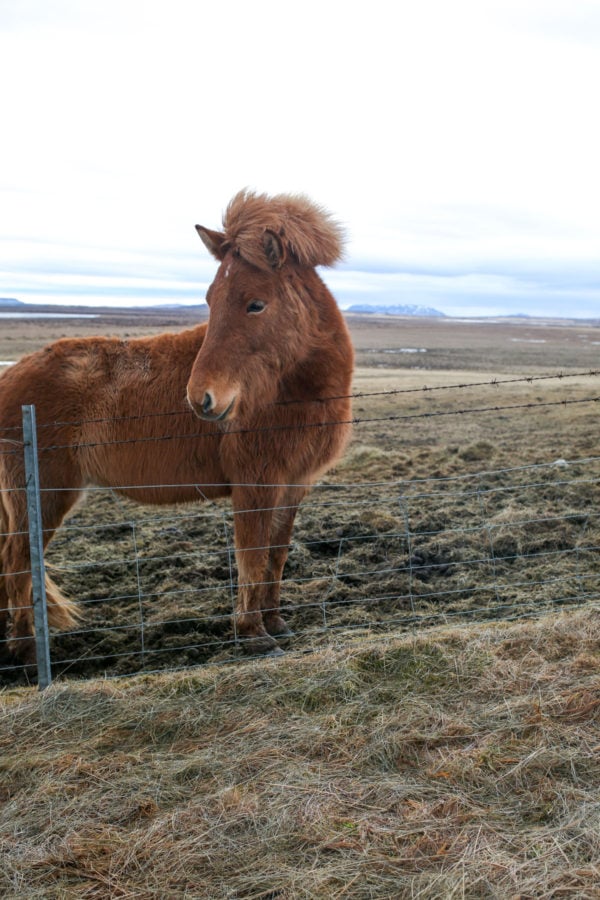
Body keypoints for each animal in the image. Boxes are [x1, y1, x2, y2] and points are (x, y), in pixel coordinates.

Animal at [0, 190, 354, 664]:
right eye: (210, 299)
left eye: (256, 303)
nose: (201, 398)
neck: (289, 391)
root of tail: (10, 375)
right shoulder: (255, 484)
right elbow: (251, 554)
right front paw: (253, 634)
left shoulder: (293, 484)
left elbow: (276, 554)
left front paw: (277, 623)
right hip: (44, 495)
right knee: (18, 559)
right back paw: (25, 650)